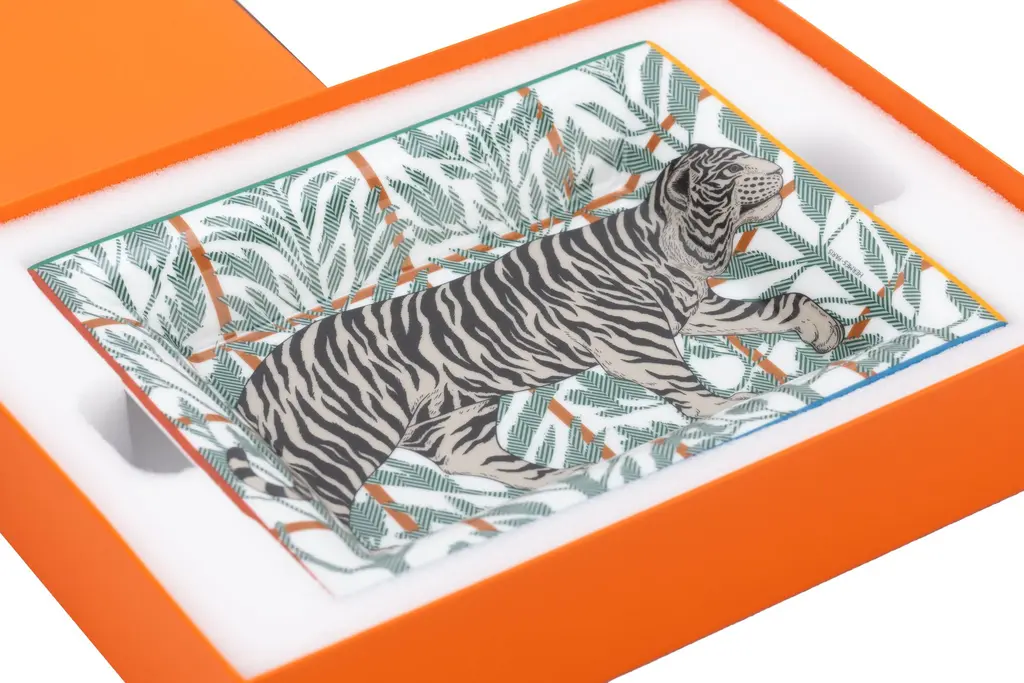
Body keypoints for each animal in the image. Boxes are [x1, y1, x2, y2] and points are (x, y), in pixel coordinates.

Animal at [226, 143, 844, 535]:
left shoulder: (697, 312)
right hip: (344, 441)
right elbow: (687, 384)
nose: (776, 166)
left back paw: (571, 480)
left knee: (490, 465)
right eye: (732, 167)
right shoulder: (637, 342)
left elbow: (782, 303)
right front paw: (732, 409)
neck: (673, 249)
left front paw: (821, 328)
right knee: (328, 505)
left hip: (458, 416)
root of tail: (256, 381)